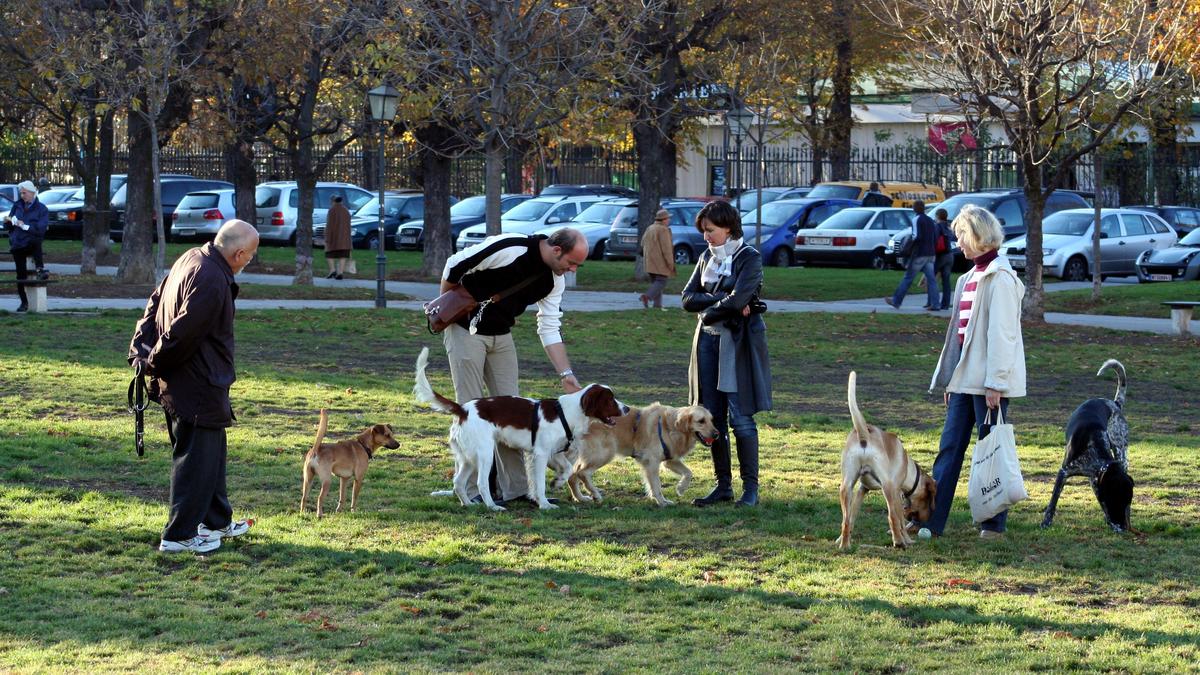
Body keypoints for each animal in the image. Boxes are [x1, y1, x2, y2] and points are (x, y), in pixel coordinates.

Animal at [566, 398, 715, 504]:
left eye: (711, 420)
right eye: (701, 421)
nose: (717, 434)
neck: (670, 427)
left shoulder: (670, 460)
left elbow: (689, 473)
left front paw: (681, 488)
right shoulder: (652, 462)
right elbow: (656, 485)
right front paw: (662, 501)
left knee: (573, 476)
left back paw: (581, 498)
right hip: (605, 453)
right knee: (582, 473)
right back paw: (595, 494)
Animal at [835, 369, 936, 550]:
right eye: (928, 500)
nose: (924, 520)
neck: (909, 469)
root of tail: (864, 433)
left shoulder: (862, 489)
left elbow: (851, 517)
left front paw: (841, 539)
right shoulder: (896, 491)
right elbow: (900, 520)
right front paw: (907, 539)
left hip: (846, 486)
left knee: (845, 519)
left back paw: (845, 546)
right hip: (887, 487)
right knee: (892, 517)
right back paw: (899, 542)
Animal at [1041, 357, 1132, 530]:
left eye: (1128, 503)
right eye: (1117, 499)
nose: (1124, 527)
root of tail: (1114, 403)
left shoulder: (1094, 480)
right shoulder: (1064, 472)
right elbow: (1053, 501)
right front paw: (1045, 522)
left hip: (1121, 452)